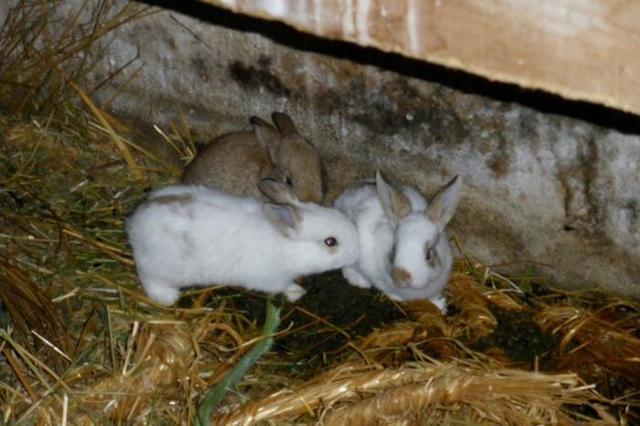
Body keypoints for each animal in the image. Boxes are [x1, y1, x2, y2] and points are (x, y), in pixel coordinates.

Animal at [126, 179, 359, 305]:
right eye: (330, 242)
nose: (356, 252)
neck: (285, 244)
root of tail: (135, 222)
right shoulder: (271, 279)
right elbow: (283, 286)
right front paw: (297, 292)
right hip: (164, 268)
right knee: (149, 277)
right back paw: (168, 297)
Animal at [333, 171, 462, 312]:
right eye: (394, 249)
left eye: (428, 254)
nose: (401, 276)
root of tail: (342, 197)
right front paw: (396, 297)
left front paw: (441, 307)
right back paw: (359, 281)